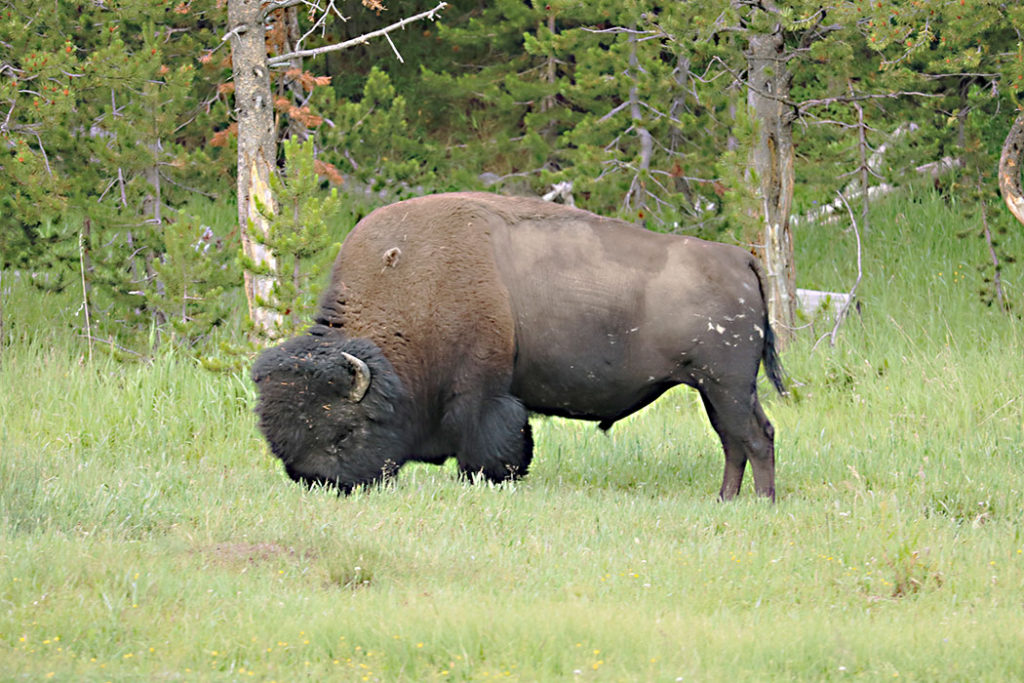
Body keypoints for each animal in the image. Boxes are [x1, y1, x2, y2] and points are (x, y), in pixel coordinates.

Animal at [253, 192, 782, 501]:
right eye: (280, 440)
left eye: (343, 432)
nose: (323, 484)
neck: (410, 288)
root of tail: (741, 259)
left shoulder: (480, 392)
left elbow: (491, 441)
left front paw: (490, 480)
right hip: (719, 389)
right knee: (739, 439)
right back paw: (727, 500)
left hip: (726, 385)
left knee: (752, 438)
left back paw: (758, 502)